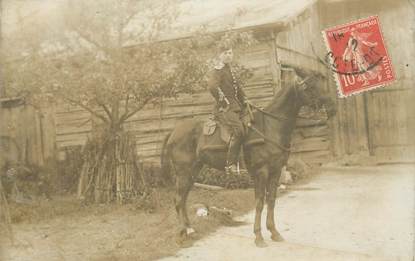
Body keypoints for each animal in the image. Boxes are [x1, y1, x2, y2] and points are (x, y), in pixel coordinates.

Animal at [161, 67, 336, 246]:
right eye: (311, 86)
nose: (332, 108)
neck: (271, 126)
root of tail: (174, 131)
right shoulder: (261, 172)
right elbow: (259, 202)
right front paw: (258, 236)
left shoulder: (276, 170)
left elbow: (271, 200)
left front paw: (274, 232)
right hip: (183, 172)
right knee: (178, 199)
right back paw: (182, 233)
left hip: (193, 171)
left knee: (183, 198)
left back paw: (190, 229)